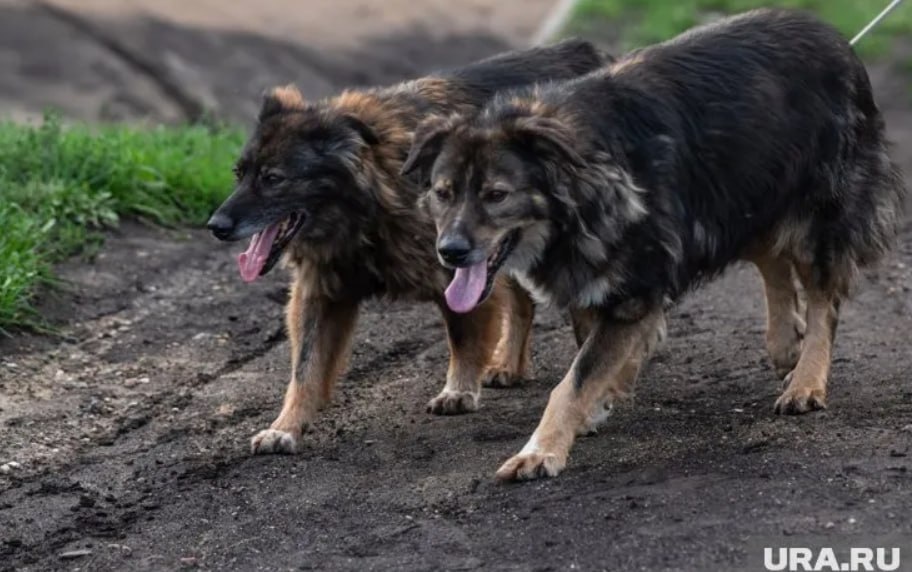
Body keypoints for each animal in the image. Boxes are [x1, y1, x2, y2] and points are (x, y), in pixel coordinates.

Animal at [206, 39, 608, 454]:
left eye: (273, 179)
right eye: (239, 174)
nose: (215, 226)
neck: (366, 203)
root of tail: (583, 51)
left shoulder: (456, 268)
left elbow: (463, 336)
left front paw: (458, 390)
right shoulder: (320, 290)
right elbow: (305, 368)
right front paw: (284, 426)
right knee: (522, 301)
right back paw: (510, 366)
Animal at [402, 8, 905, 480]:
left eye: (496, 195)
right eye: (443, 192)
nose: (450, 251)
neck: (587, 177)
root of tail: (833, 36)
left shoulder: (630, 292)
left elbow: (573, 379)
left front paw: (541, 450)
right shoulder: (594, 284)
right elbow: (588, 360)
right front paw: (600, 400)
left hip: (821, 215)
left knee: (823, 300)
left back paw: (806, 381)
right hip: (743, 197)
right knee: (771, 259)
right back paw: (784, 343)